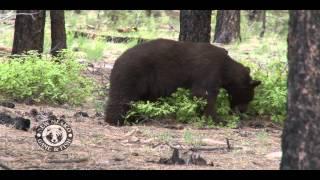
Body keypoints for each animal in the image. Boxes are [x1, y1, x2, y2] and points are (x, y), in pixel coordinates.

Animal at [105, 38, 260, 125]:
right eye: (250, 98)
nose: (243, 111)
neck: (226, 68)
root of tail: (117, 59)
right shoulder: (209, 70)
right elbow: (204, 93)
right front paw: (217, 119)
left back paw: (137, 118)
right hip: (133, 74)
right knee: (123, 96)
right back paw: (117, 119)